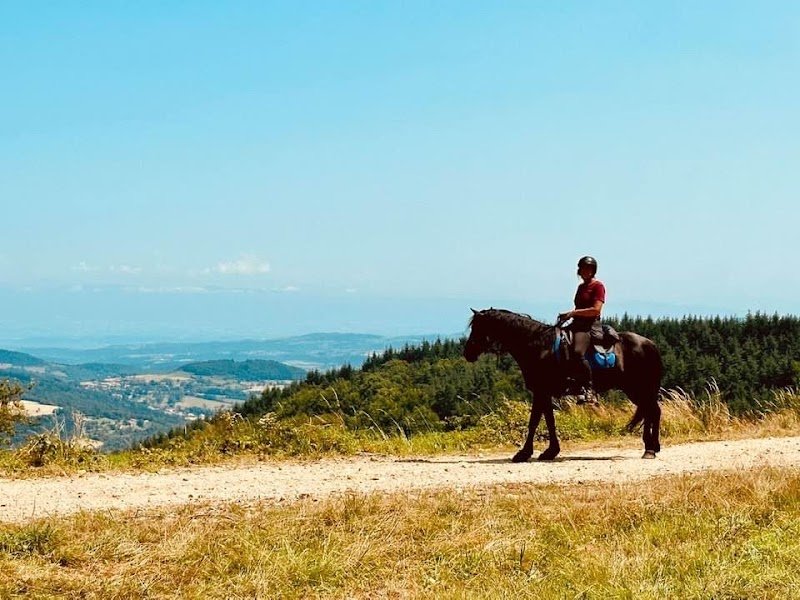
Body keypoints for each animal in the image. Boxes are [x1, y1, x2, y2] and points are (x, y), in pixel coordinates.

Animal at [464, 308, 663, 461]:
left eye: (479, 327)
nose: (467, 353)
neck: (539, 346)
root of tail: (650, 344)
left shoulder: (541, 391)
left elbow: (534, 422)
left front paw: (524, 453)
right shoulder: (544, 392)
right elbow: (548, 421)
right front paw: (550, 451)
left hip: (639, 388)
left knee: (653, 411)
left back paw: (650, 449)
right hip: (636, 390)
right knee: (652, 411)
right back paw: (652, 446)